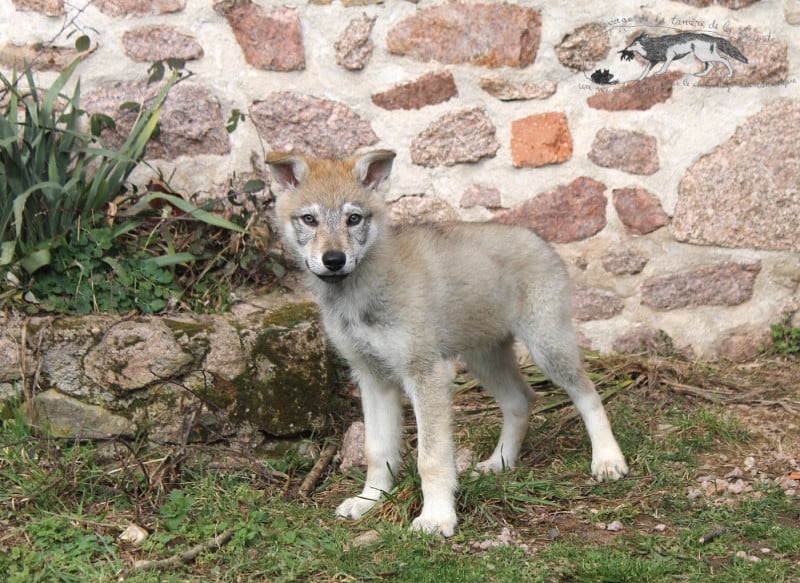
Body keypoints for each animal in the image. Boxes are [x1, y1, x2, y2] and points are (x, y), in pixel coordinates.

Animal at [266, 150, 628, 537]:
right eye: (309, 219)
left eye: (354, 219)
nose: (334, 260)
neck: (357, 293)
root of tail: (538, 239)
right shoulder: (373, 378)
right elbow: (376, 450)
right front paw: (370, 500)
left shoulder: (426, 374)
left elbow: (432, 458)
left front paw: (437, 517)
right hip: (484, 358)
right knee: (521, 400)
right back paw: (500, 462)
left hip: (548, 346)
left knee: (588, 393)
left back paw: (607, 459)